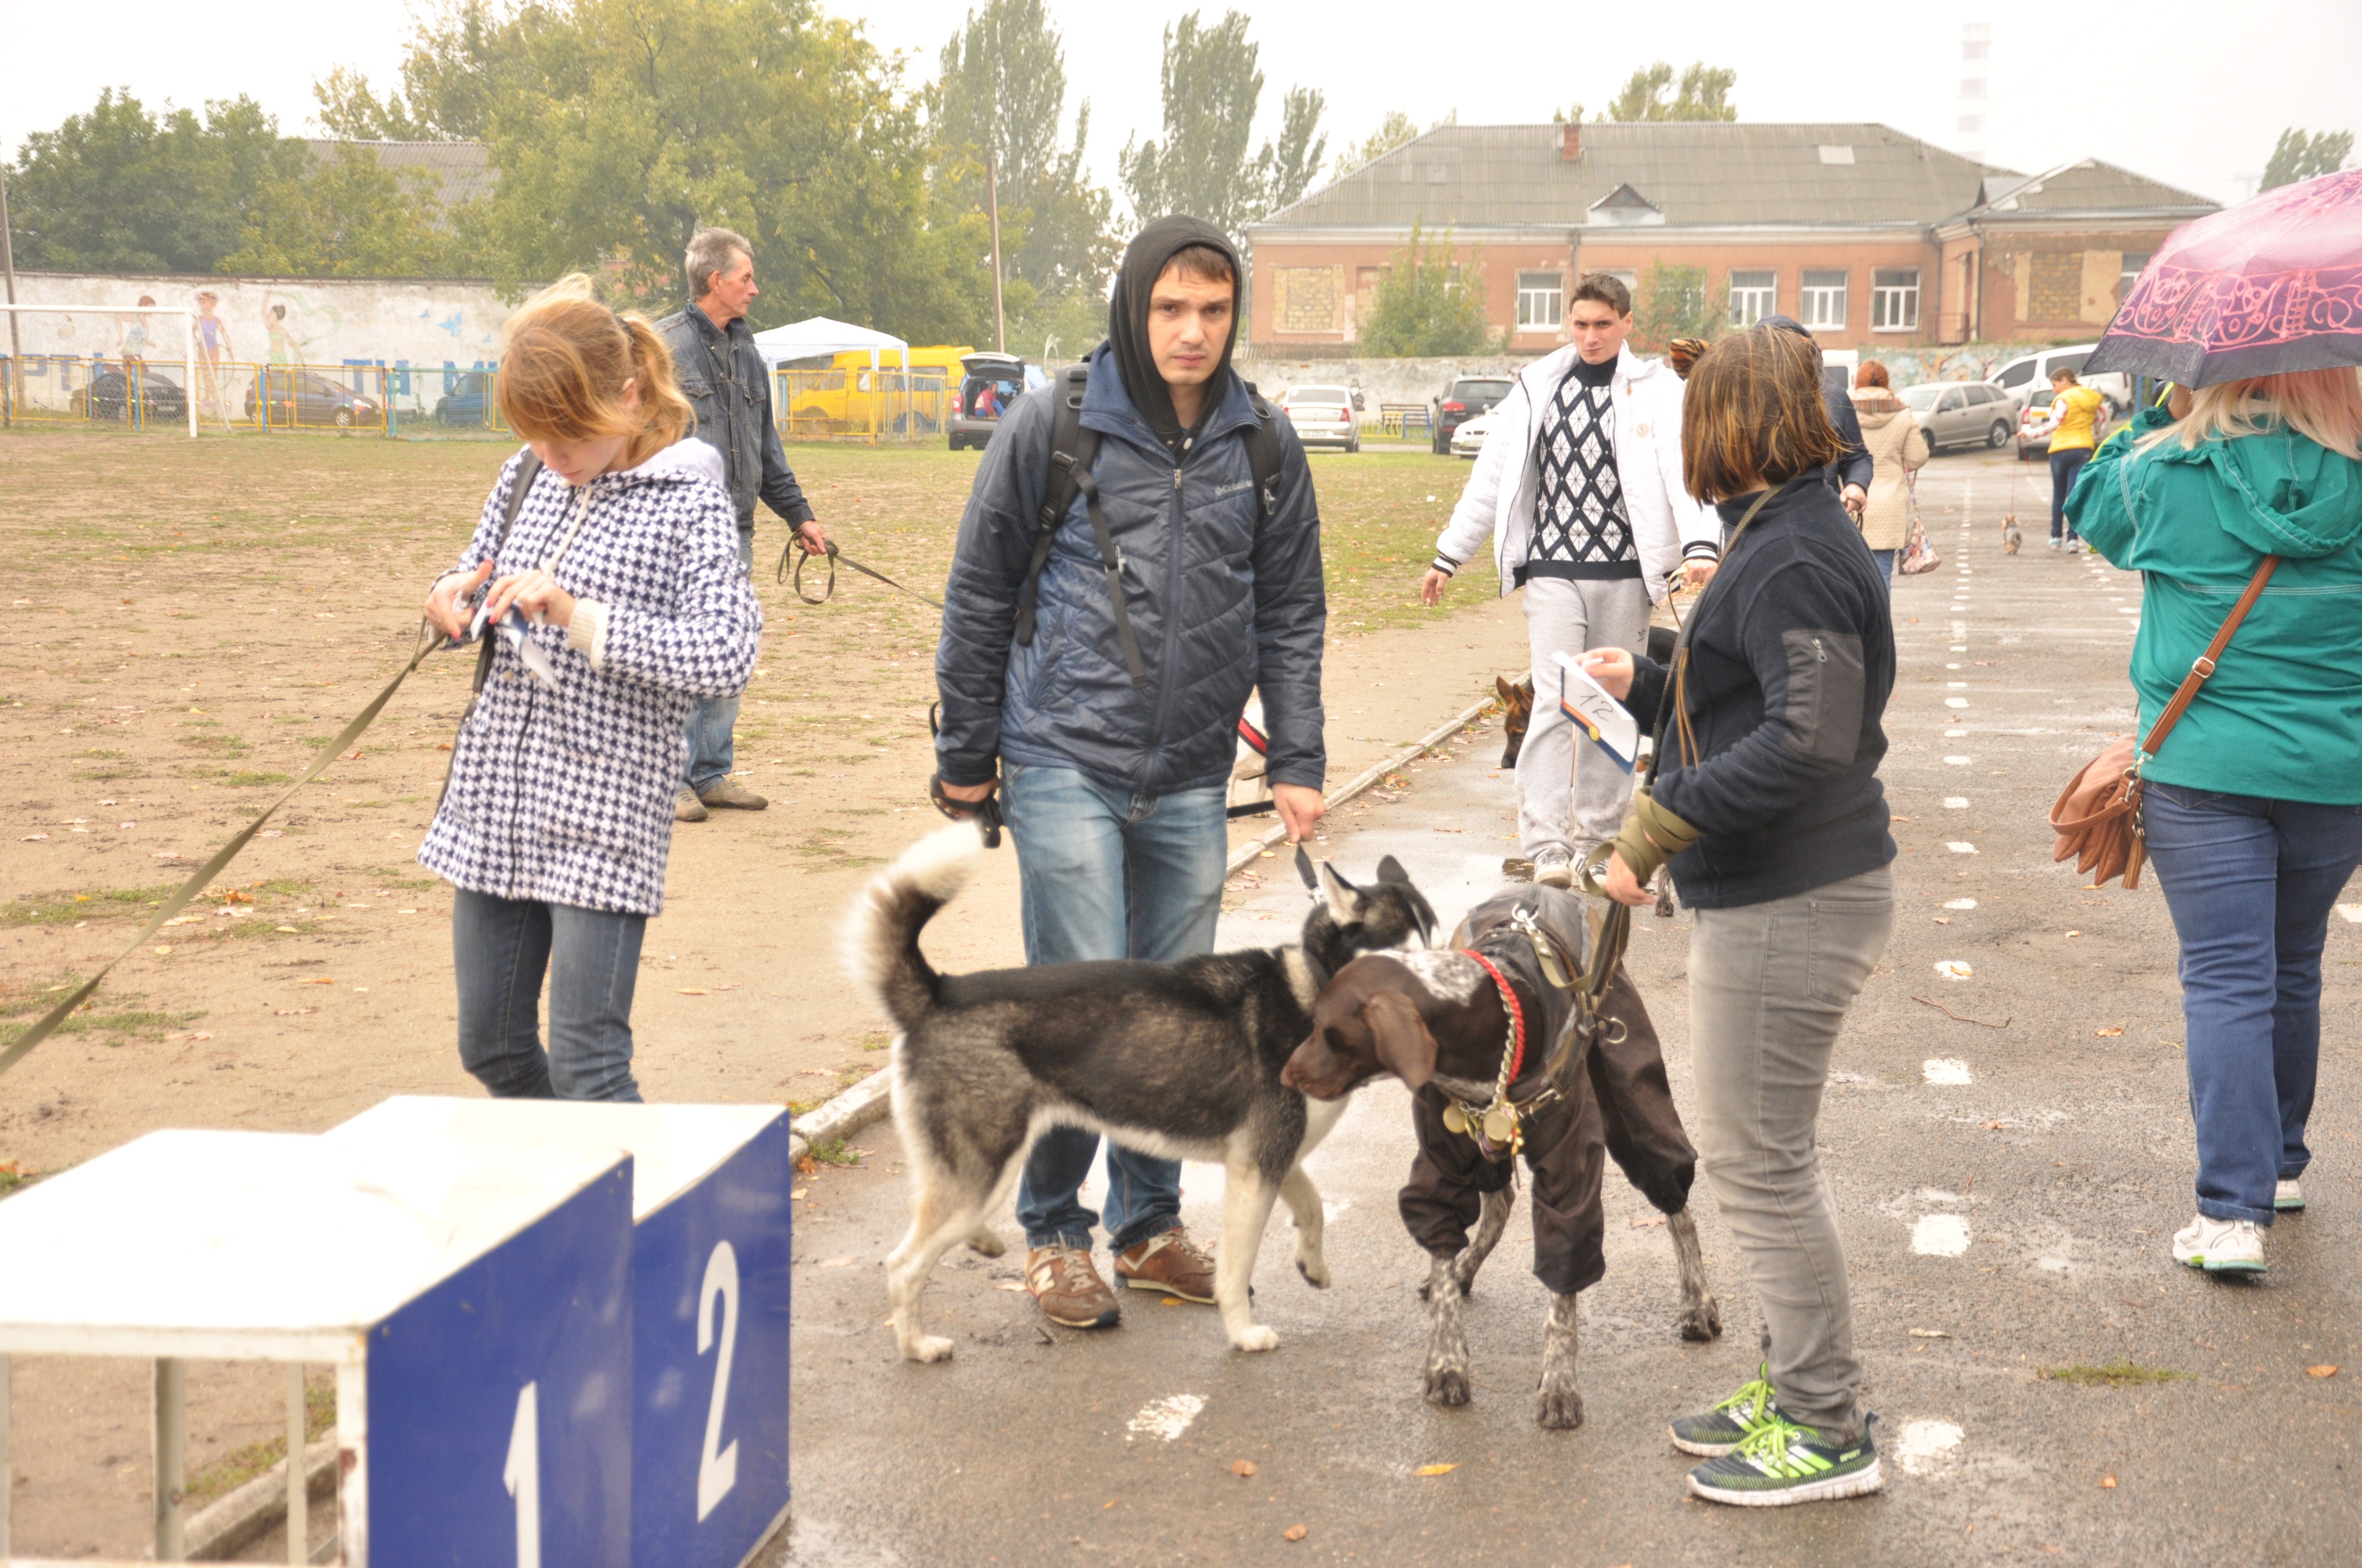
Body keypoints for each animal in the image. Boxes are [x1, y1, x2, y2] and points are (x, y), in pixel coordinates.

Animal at [850, 825, 1439, 1362]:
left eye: (1437, 945)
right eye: (1404, 959)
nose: (1445, 1006)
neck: (1313, 994)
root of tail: (939, 991)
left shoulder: (1274, 1159)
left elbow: (1313, 1208)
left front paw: (1312, 1266)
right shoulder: (1256, 1170)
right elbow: (1237, 1270)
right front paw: (1244, 1333)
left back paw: (981, 1244)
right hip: (984, 1169)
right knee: (903, 1266)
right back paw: (917, 1346)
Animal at [1281, 885, 1719, 1428]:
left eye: (1331, 1032)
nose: (1286, 1075)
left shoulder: (1570, 1170)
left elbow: (1562, 1290)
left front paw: (1559, 1383)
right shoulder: (1442, 1160)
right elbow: (1443, 1258)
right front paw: (1446, 1360)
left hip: (1628, 1090)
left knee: (1676, 1202)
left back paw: (1697, 1301)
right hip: (1482, 1148)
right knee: (1499, 1203)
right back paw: (1466, 1268)